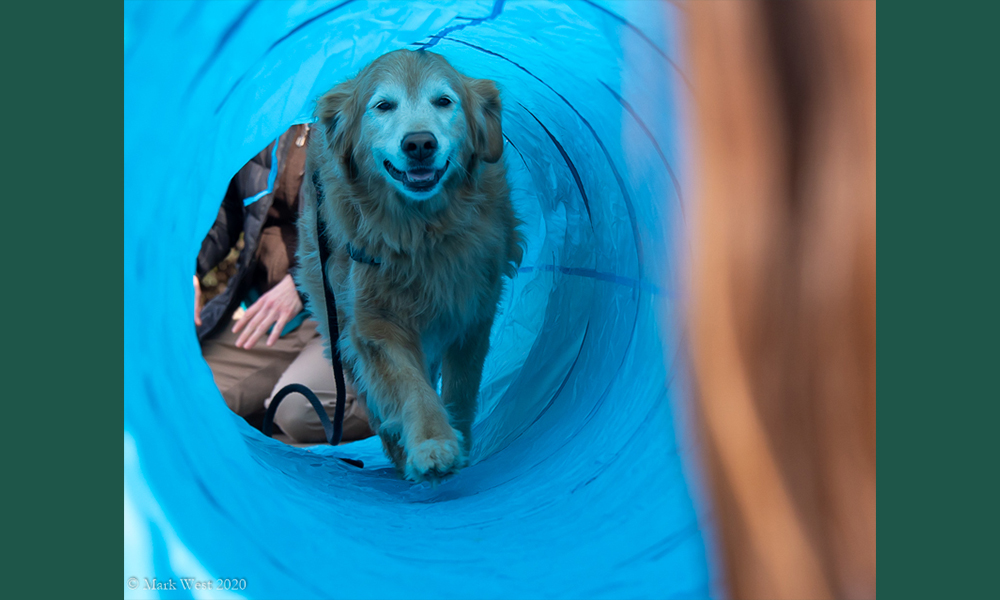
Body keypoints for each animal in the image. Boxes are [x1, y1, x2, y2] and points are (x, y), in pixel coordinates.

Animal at [294, 50, 524, 482]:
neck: (422, 232)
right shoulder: (375, 324)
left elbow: (461, 390)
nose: (419, 143)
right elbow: (410, 385)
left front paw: (460, 441)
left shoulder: (472, 314)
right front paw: (431, 443)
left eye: (444, 101)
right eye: (383, 106)